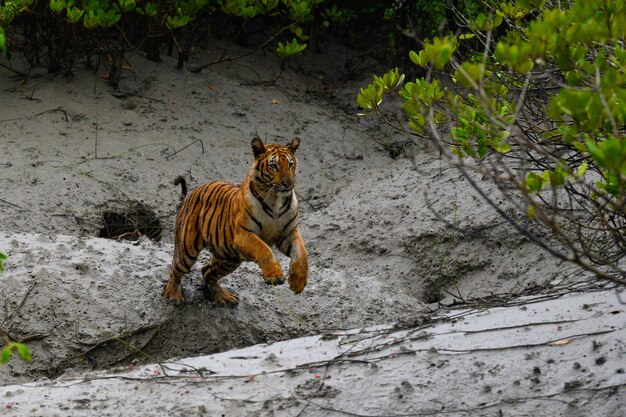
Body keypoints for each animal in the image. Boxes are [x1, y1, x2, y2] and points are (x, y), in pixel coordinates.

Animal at [162, 138, 306, 304]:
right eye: (273, 165)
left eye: (290, 164)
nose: (288, 184)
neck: (276, 199)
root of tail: (191, 194)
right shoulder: (243, 233)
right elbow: (264, 249)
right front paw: (274, 275)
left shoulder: (288, 234)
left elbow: (302, 253)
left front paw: (298, 283)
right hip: (187, 250)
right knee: (175, 270)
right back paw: (174, 295)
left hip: (229, 258)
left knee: (207, 271)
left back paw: (224, 297)